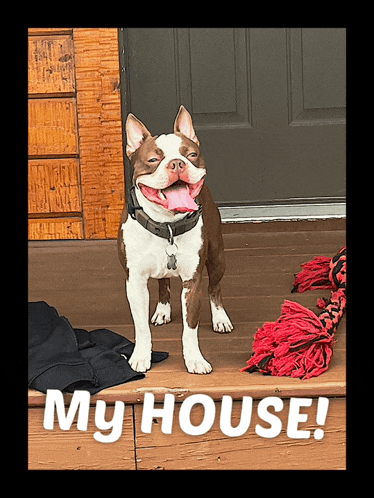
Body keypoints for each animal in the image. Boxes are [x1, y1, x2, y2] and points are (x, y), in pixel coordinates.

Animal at [118, 107, 232, 376]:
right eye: (153, 160)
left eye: (191, 155)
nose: (177, 163)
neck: (167, 225)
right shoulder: (134, 281)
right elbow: (141, 327)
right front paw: (141, 356)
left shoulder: (193, 282)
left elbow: (190, 328)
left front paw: (194, 360)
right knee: (163, 283)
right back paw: (162, 310)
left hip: (217, 256)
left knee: (215, 288)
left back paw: (220, 318)